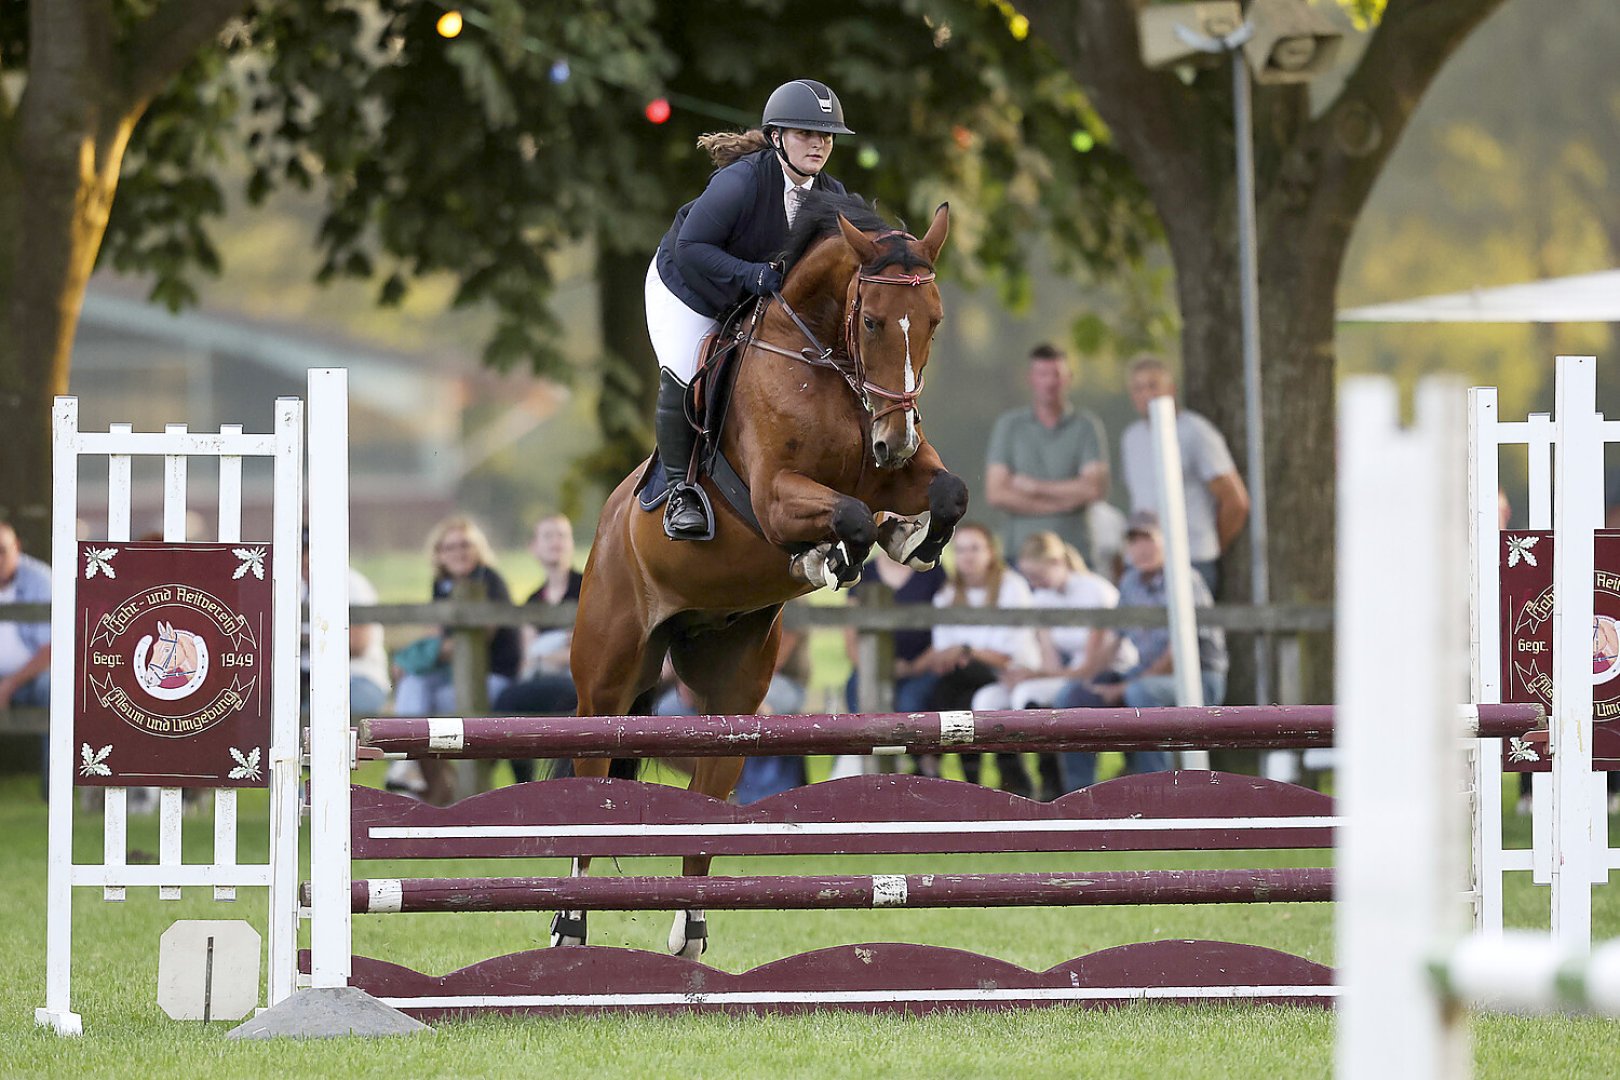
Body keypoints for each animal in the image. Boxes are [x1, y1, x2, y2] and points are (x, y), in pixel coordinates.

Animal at [560, 191, 959, 952]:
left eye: (933, 322)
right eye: (871, 320)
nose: (897, 439)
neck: (824, 359)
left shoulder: (888, 472)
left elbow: (947, 493)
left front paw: (911, 539)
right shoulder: (776, 496)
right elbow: (849, 517)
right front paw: (830, 556)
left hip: (734, 698)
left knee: (705, 802)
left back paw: (690, 931)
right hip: (606, 682)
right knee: (588, 785)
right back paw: (569, 926)